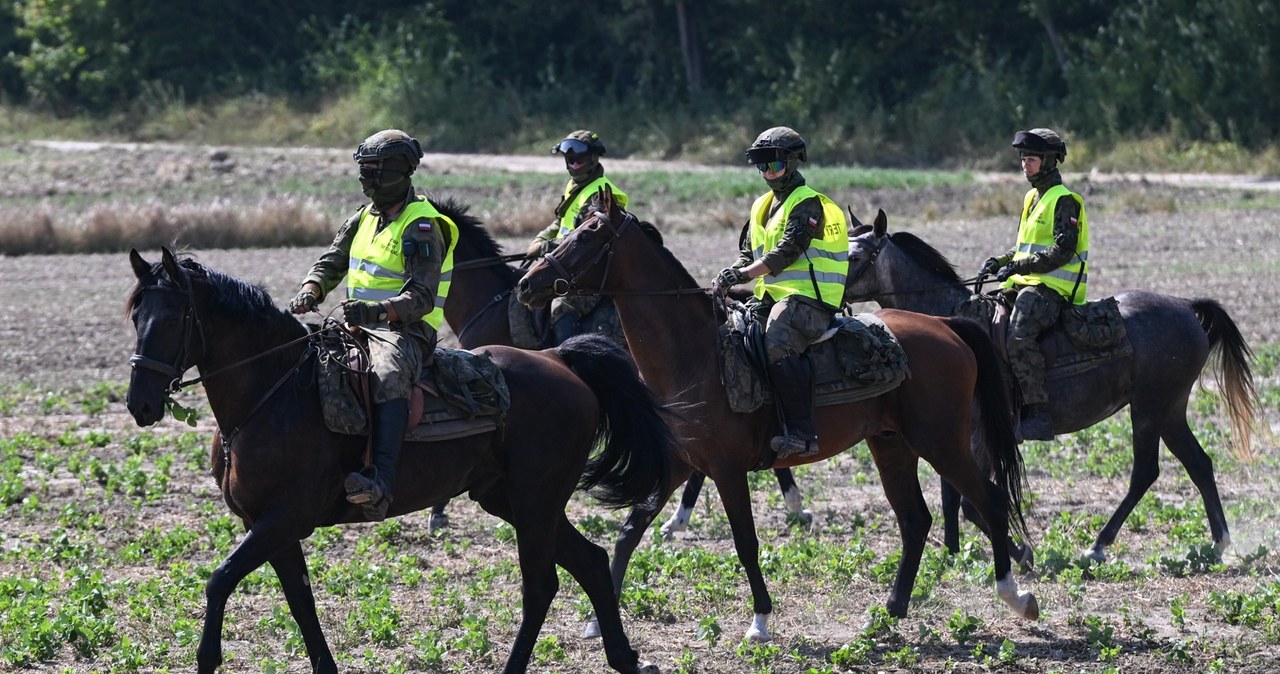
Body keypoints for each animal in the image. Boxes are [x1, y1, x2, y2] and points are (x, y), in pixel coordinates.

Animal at [124, 248, 675, 674]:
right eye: (135, 317)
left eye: (171, 320)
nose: (140, 404)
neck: (274, 394)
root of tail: (560, 359)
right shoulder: (268, 525)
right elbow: (300, 600)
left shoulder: (283, 519)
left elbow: (219, 579)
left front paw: (207, 658)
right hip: (512, 500)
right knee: (592, 563)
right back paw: (625, 658)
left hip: (534, 501)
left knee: (541, 585)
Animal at [514, 194, 1034, 644]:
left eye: (589, 233)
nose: (526, 283)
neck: (698, 355)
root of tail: (946, 325)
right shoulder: (680, 465)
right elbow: (628, 532)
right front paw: (597, 621)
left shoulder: (726, 471)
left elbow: (745, 543)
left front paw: (760, 621)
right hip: (891, 443)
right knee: (915, 519)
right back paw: (890, 611)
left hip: (940, 441)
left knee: (987, 499)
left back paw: (1015, 594)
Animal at [839, 212, 1259, 565]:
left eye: (856, 256)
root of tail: (1187, 306)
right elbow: (951, 495)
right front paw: (953, 553)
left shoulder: (982, 434)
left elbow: (971, 502)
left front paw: (1019, 551)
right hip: (1170, 410)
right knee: (1198, 464)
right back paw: (1219, 543)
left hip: (1149, 409)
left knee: (1146, 472)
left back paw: (1099, 545)